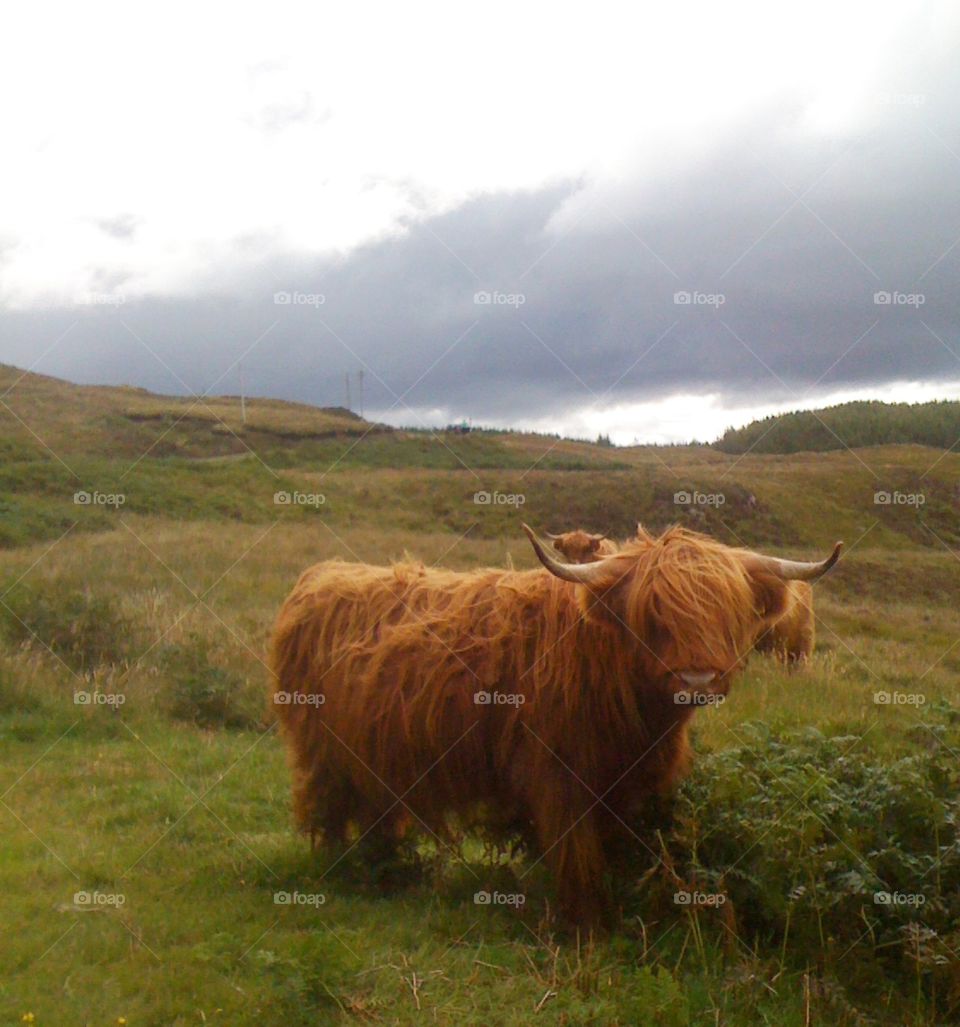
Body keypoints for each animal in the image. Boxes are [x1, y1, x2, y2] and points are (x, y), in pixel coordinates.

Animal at [270, 524, 841, 925]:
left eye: (726, 614)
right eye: (654, 615)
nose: (697, 678)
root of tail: (319, 576)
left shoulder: (620, 785)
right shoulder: (558, 776)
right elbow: (576, 855)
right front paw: (587, 924)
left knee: (377, 812)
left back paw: (387, 871)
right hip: (324, 753)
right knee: (330, 810)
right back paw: (346, 872)